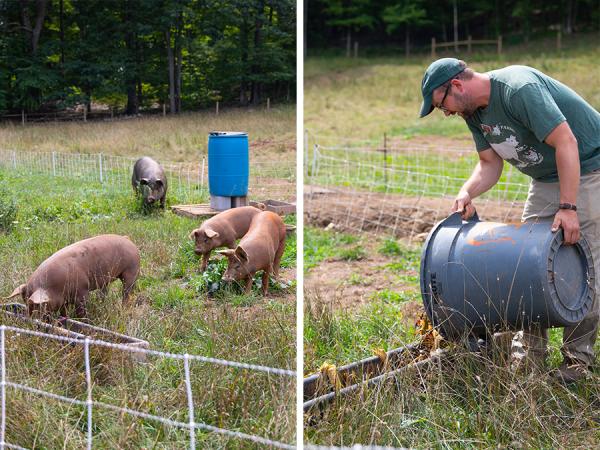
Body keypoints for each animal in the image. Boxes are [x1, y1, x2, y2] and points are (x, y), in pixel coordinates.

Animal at [4, 234, 140, 318]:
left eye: (37, 305)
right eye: (25, 303)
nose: (31, 320)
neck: (54, 287)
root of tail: (127, 239)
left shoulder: (82, 290)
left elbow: (81, 309)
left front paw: (84, 320)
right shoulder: (63, 300)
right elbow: (63, 312)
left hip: (132, 271)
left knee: (126, 292)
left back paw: (124, 308)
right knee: (104, 292)